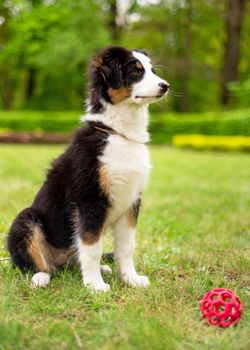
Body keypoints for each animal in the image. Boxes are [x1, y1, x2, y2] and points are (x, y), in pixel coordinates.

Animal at [6, 46, 169, 292]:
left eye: (152, 70)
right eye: (134, 71)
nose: (165, 85)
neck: (117, 133)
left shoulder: (131, 202)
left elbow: (126, 247)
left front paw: (131, 278)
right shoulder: (90, 200)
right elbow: (92, 247)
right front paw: (95, 286)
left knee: (74, 260)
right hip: (25, 220)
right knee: (38, 264)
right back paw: (41, 277)